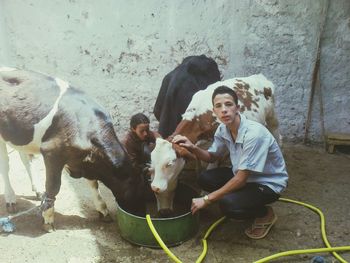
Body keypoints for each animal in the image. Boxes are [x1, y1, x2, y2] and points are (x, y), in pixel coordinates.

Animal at [0, 67, 145, 232]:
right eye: (138, 186)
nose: (141, 213)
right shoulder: (52, 153)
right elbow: (53, 187)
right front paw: (48, 219)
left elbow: (94, 184)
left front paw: (102, 209)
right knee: (5, 165)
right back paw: (10, 198)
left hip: (20, 135)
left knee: (25, 159)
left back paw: (36, 189)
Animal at [150, 73, 282, 214]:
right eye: (153, 165)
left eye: (169, 164)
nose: (156, 187)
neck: (200, 117)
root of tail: (259, 77)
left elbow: (211, 165)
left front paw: (204, 193)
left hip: (272, 116)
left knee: (277, 134)